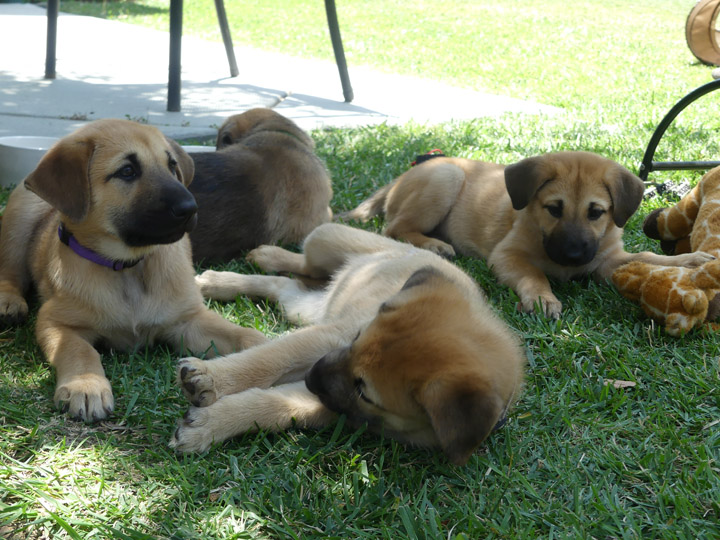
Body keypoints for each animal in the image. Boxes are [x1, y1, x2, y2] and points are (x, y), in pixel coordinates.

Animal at [0, 119, 268, 422]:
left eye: (172, 166)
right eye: (127, 171)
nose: (191, 208)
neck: (129, 268)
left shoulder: (188, 320)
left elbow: (241, 333)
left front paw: (266, 351)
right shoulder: (55, 321)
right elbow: (79, 349)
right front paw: (86, 385)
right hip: (20, 217)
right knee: (9, 271)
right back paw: (9, 302)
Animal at [172, 221, 524, 466]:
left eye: (364, 391)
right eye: (356, 339)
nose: (310, 376)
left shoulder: (334, 401)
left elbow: (275, 405)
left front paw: (208, 425)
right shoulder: (329, 337)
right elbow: (269, 358)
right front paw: (210, 378)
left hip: (302, 304)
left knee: (282, 283)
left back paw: (227, 281)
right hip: (326, 237)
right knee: (302, 263)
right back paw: (255, 261)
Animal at [344, 151, 716, 316]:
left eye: (596, 213)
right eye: (554, 209)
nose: (573, 256)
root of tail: (402, 177)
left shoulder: (608, 259)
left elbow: (648, 257)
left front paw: (692, 261)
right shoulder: (507, 255)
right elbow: (533, 273)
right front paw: (542, 297)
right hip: (446, 177)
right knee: (395, 227)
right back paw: (436, 244)